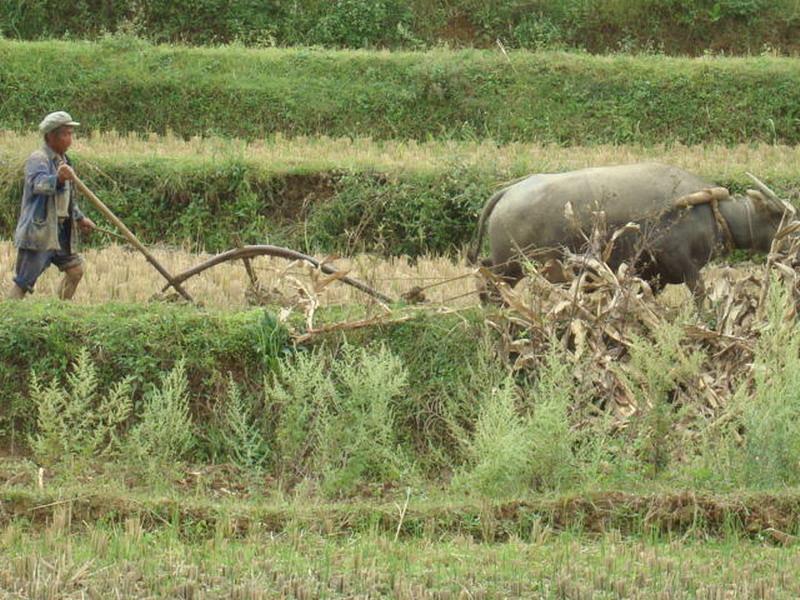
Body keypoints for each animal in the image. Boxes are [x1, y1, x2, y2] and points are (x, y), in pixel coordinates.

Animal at [468, 163, 792, 298]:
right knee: (490, 284)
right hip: (513, 266)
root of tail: (509, 191)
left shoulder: (654, 277)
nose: (791, 255)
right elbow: (701, 299)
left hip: (506, 263)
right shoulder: (684, 266)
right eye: (781, 219)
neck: (710, 212)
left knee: (483, 272)